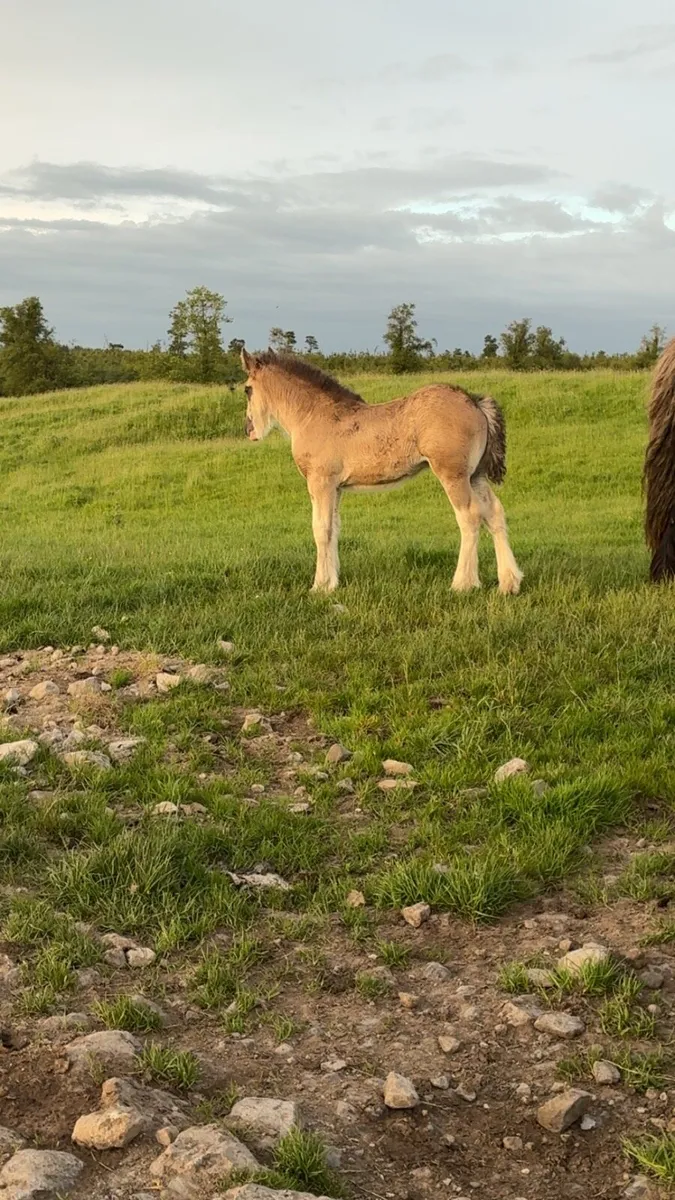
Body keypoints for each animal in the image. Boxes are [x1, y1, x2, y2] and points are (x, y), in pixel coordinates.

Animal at [240, 347, 523, 596]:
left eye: (247, 389)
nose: (249, 430)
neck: (314, 416)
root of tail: (475, 403)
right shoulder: (336, 488)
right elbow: (335, 528)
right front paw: (332, 582)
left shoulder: (320, 482)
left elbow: (321, 530)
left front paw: (319, 587)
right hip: (476, 475)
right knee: (494, 513)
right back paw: (509, 583)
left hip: (453, 475)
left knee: (470, 516)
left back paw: (463, 584)